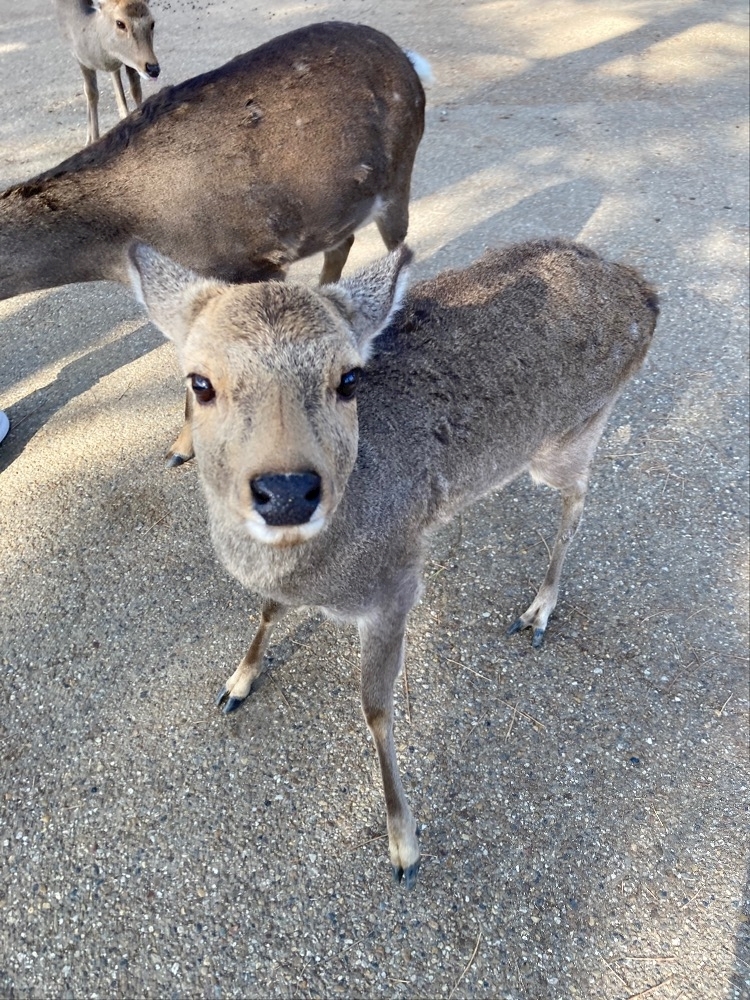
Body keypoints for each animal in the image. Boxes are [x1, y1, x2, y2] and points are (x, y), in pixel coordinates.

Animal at [0, 22, 428, 460]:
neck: (120, 239)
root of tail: (408, 59)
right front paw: (182, 446)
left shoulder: (248, 264)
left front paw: (184, 447)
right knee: (343, 241)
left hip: (400, 174)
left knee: (397, 243)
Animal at [55, 0, 162, 145]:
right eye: (120, 23)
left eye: (152, 23)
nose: (153, 69)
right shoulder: (79, 57)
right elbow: (91, 93)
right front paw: (94, 139)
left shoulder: (130, 63)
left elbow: (135, 89)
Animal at [129, 236, 656, 892]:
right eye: (198, 383)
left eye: (349, 378)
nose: (287, 490)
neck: (326, 571)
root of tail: (645, 292)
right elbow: (270, 608)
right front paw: (237, 682)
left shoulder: (394, 590)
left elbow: (376, 709)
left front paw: (403, 845)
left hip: (569, 435)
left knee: (580, 496)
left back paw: (539, 608)